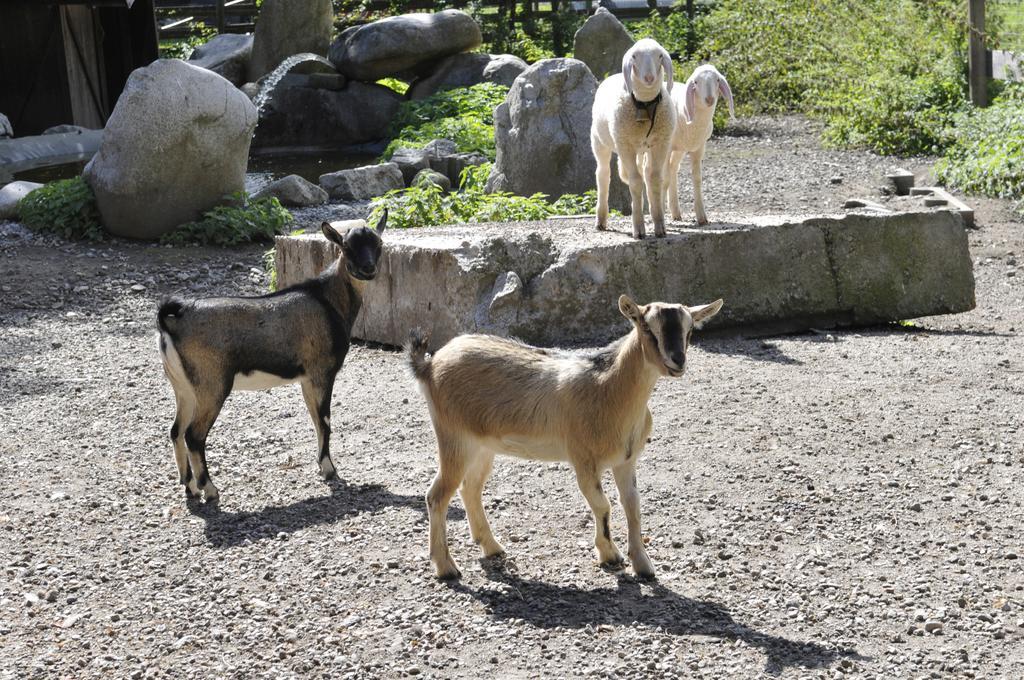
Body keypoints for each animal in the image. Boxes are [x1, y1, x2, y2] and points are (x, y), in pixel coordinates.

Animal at [157, 210, 385, 499]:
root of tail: (173, 320)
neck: (327, 301)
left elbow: (315, 419)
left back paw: (190, 487)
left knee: (176, 431)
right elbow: (325, 420)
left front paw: (322, 466)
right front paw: (329, 469)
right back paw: (209, 489)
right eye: (346, 247)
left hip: (184, 388)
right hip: (212, 386)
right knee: (193, 436)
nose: (368, 269)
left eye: (378, 244)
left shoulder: (306, 378)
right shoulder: (322, 372)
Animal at [403, 292, 724, 577]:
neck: (609, 388)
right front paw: (610, 555)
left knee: (470, 488)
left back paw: (492, 547)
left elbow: (632, 506)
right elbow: (603, 505)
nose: (677, 360)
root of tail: (430, 365)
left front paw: (644, 566)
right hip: (454, 438)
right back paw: (446, 568)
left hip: (482, 446)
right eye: (646, 327)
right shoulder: (583, 459)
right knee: (437, 496)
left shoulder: (626, 461)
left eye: (690, 329)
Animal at [593, 37, 679, 238]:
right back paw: (601, 219)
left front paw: (659, 226)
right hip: (600, 142)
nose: (649, 78)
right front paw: (639, 229)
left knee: (645, 173)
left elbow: (654, 180)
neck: (645, 104)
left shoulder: (661, 144)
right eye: (634, 56)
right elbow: (635, 182)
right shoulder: (625, 145)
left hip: (643, 148)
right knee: (603, 175)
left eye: (660, 55)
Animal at [667, 62, 733, 225]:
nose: (709, 99)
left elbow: (697, 177)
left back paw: (676, 212)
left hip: (680, 149)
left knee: (672, 168)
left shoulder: (699, 147)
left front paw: (702, 217)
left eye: (717, 80)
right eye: (696, 82)